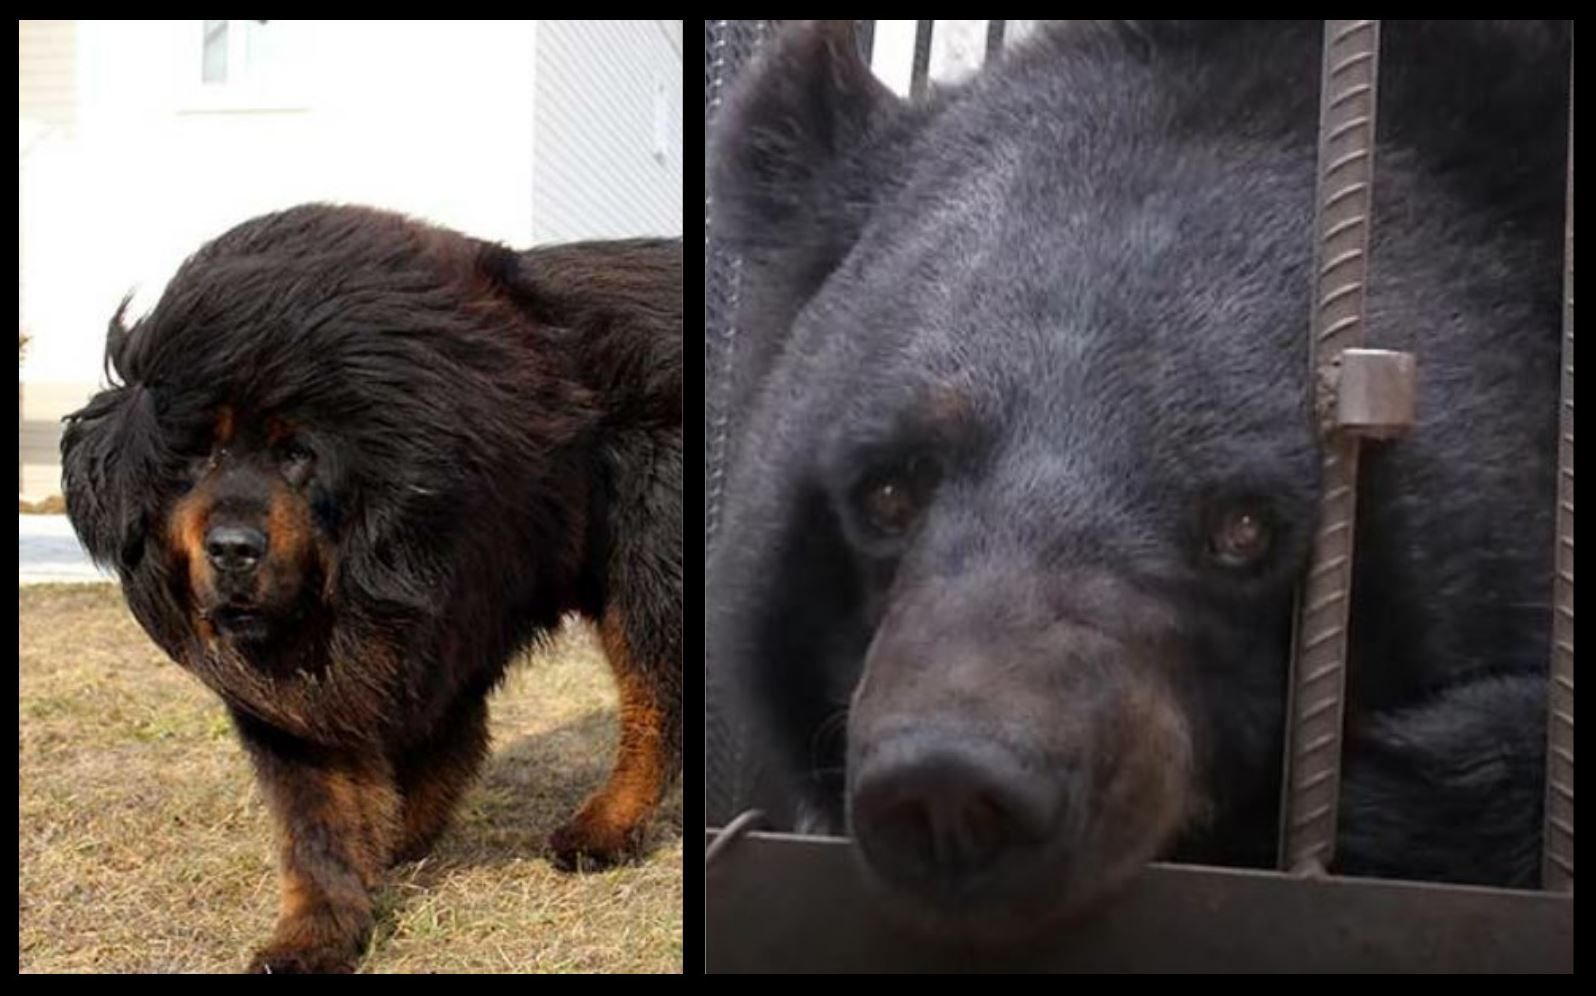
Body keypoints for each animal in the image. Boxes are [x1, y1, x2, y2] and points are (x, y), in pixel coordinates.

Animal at [62, 202, 683, 970]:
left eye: (297, 454)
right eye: (199, 453)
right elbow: (318, 816)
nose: (234, 548)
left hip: (646, 566)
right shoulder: (307, 689)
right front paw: (320, 925)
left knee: (654, 707)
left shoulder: (445, 617)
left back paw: (603, 830)